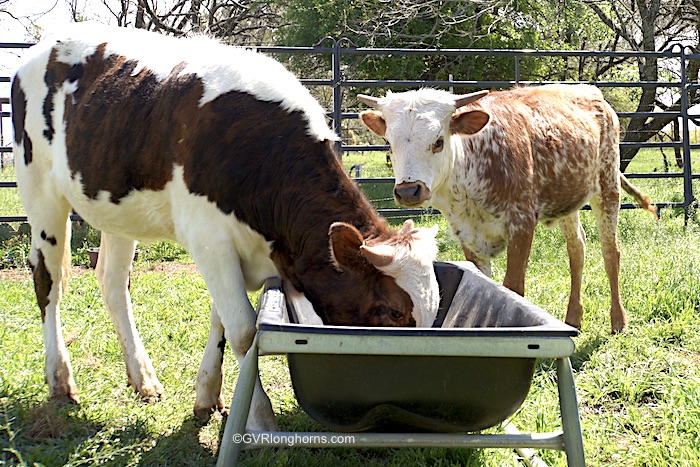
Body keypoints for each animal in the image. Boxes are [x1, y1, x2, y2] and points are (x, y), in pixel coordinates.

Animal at [10, 23, 438, 430]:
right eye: (393, 312)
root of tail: (44, 46)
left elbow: (220, 323)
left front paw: (207, 396)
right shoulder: (209, 239)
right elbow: (246, 332)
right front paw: (259, 418)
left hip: (114, 207)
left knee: (112, 283)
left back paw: (143, 379)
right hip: (39, 189)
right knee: (47, 281)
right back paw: (60, 380)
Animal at [360, 84, 656, 332]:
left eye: (438, 141)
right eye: (389, 144)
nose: (408, 191)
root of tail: (593, 93)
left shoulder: (521, 223)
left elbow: (512, 287)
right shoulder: (466, 233)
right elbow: (484, 284)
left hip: (607, 185)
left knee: (610, 252)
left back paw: (618, 320)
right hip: (568, 200)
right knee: (577, 250)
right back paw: (573, 317)